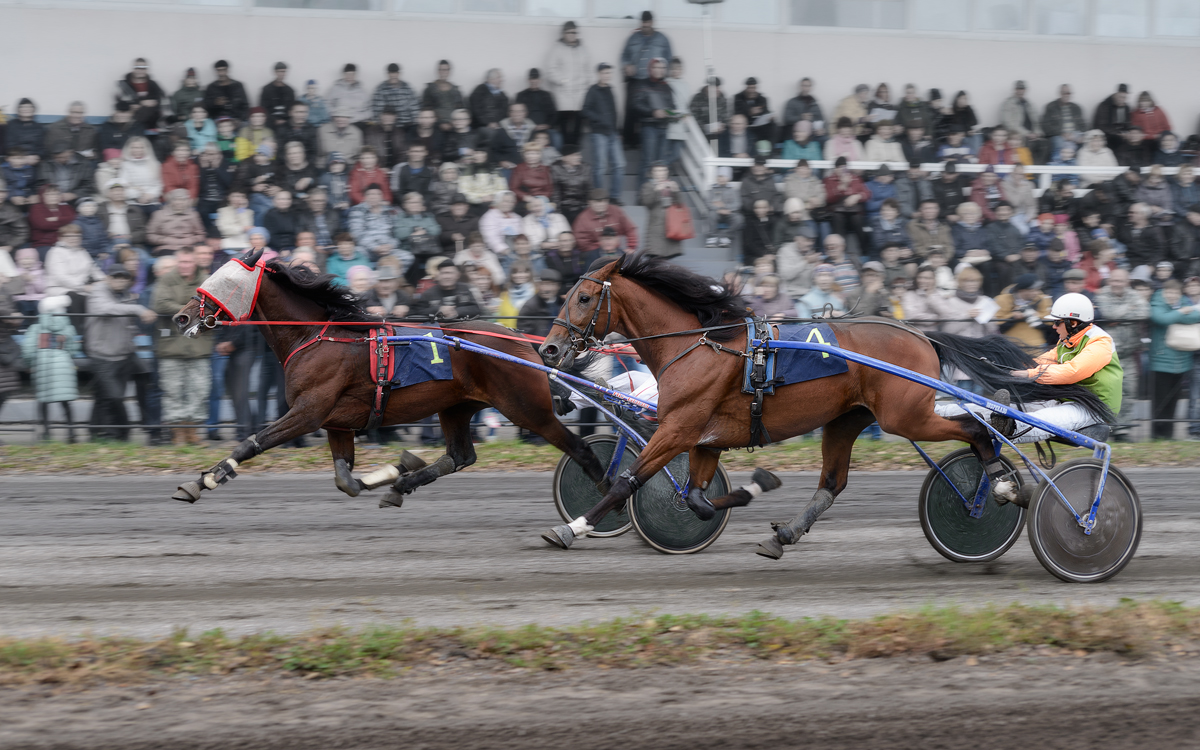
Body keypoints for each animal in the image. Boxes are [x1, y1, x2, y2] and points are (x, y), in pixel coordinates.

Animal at [171, 252, 609, 508]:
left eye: (221, 282)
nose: (182, 316)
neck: (316, 335)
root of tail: (521, 342)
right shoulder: (336, 422)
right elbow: (346, 480)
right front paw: (393, 472)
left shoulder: (309, 411)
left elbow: (253, 441)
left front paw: (204, 480)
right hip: (456, 406)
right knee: (460, 456)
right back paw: (404, 483)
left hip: (526, 407)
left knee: (580, 450)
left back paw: (601, 503)